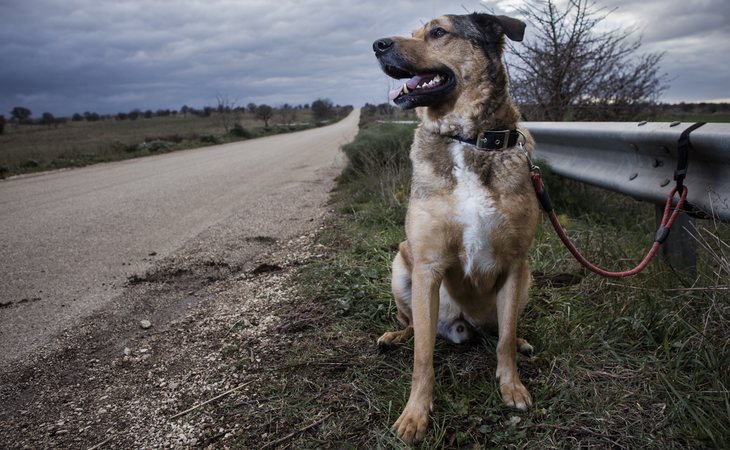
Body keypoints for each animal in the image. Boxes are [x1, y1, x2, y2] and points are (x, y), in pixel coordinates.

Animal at [372, 12, 536, 444]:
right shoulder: (427, 266)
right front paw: (415, 414)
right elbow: (423, 356)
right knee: (414, 327)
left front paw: (512, 386)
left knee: (502, 329)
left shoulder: (515, 263)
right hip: (401, 267)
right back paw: (395, 336)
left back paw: (522, 340)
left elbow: (505, 341)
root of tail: (464, 325)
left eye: (437, 32)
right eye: (413, 33)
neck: (468, 139)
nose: (377, 44)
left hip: (526, 280)